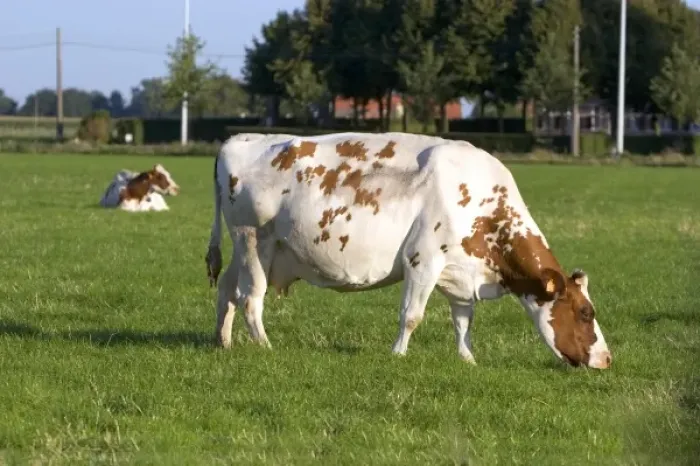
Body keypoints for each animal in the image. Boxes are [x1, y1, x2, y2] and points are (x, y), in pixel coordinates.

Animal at [204, 132, 612, 369]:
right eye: (585, 312)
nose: (606, 359)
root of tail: (238, 139)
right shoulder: (422, 260)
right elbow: (412, 316)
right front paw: (398, 354)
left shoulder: (461, 273)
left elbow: (463, 320)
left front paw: (468, 359)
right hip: (254, 242)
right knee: (250, 298)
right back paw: (264, 346)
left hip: (245, 250)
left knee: (226, 290)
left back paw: (223, 342)